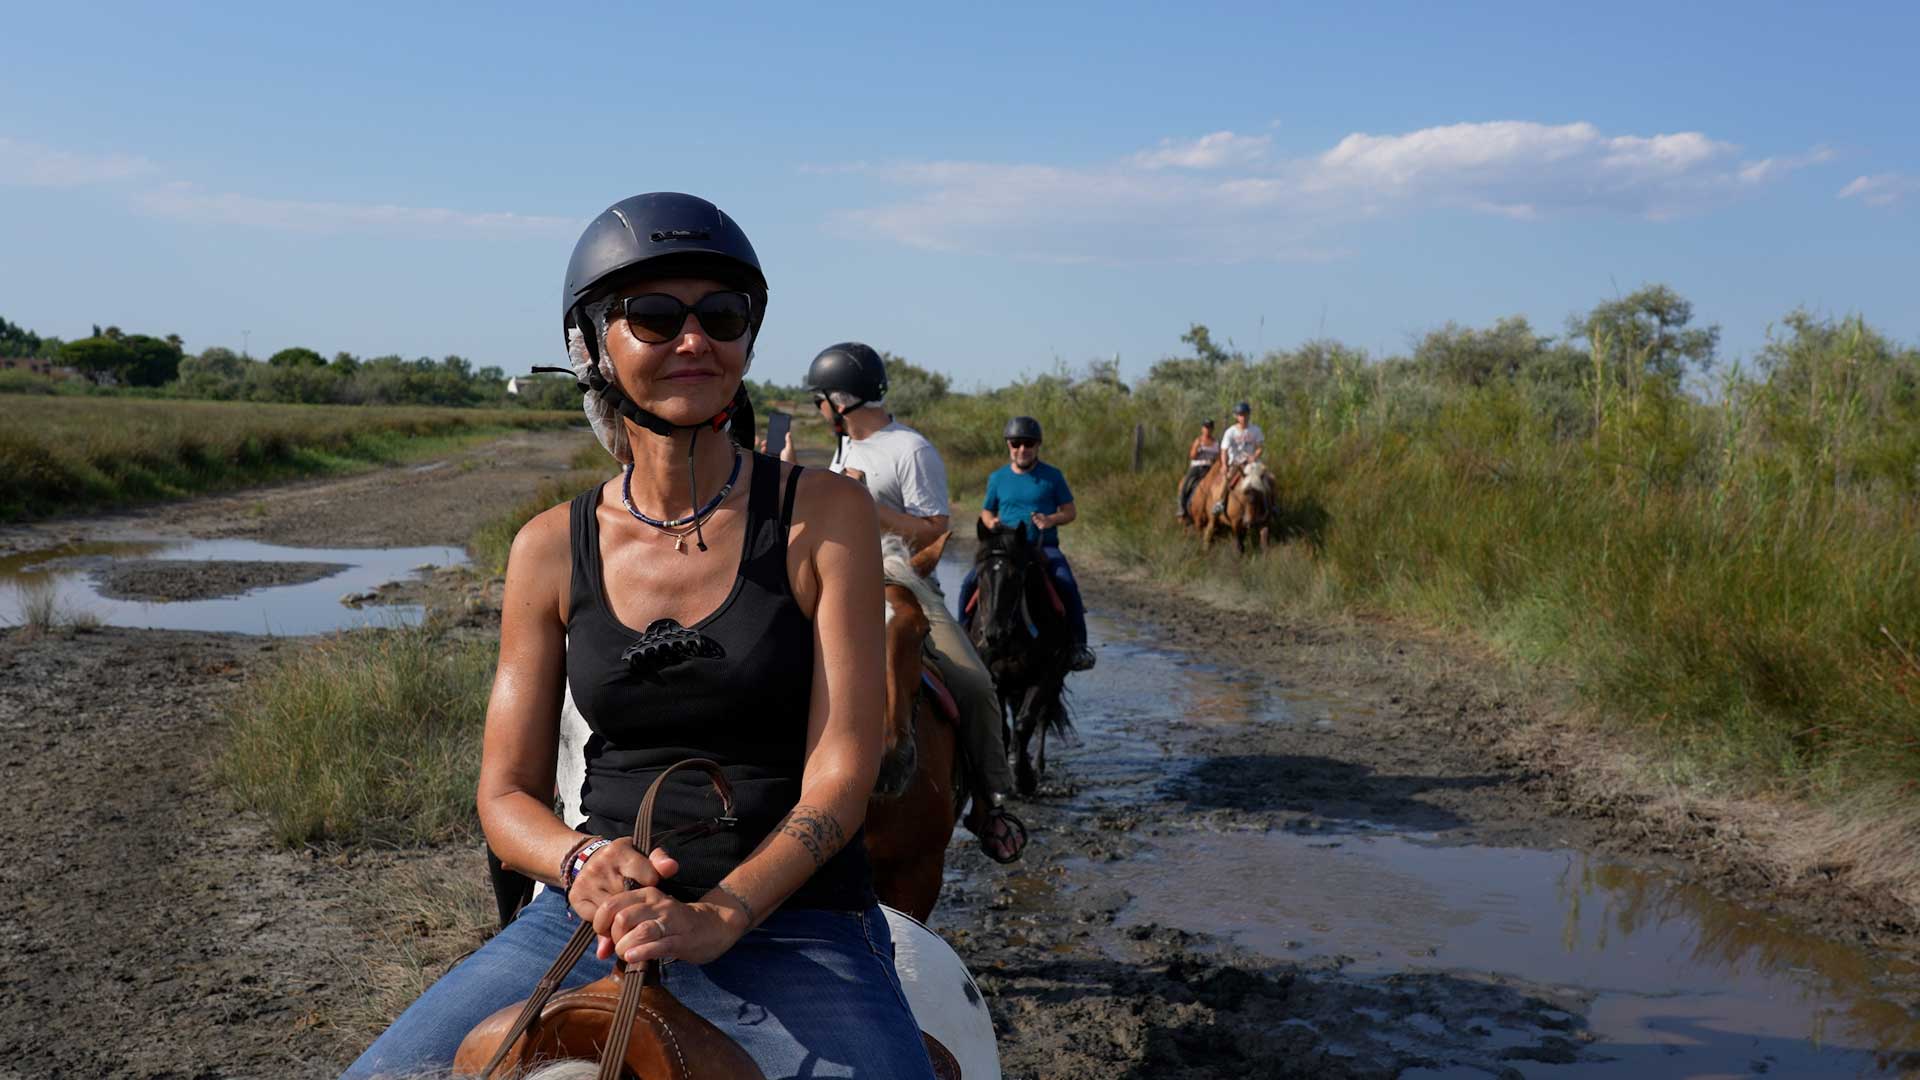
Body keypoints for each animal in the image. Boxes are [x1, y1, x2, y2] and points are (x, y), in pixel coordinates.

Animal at [967, 518, 1075, 795]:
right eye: (980, 575)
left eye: (1015, 577)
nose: (992, 634)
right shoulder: (994, 679)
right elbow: (1003, 727)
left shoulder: (1045, 676)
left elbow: (1026, 724)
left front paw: (1025, 779)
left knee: (1042, 718)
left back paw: (1036, 765)